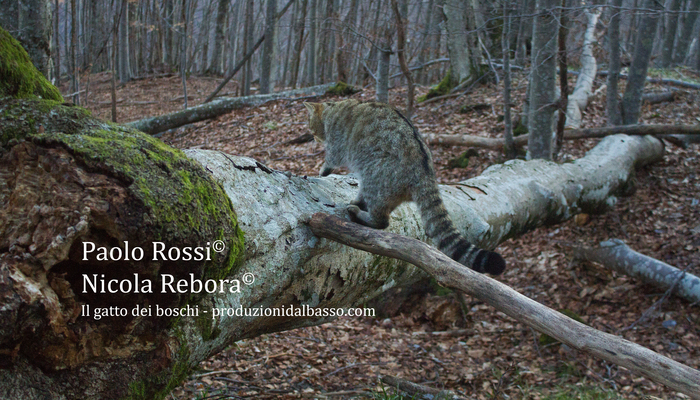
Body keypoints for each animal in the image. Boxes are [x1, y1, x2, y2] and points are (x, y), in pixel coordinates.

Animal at [304, 99, 506, 276]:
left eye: (311, 127)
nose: (313, 137)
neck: (332, 108)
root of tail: (424, 170)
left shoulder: (336, 142)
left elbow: (332, 159)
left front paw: (321, 170)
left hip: (377, 173)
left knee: (381, 219)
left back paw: (364, 214)